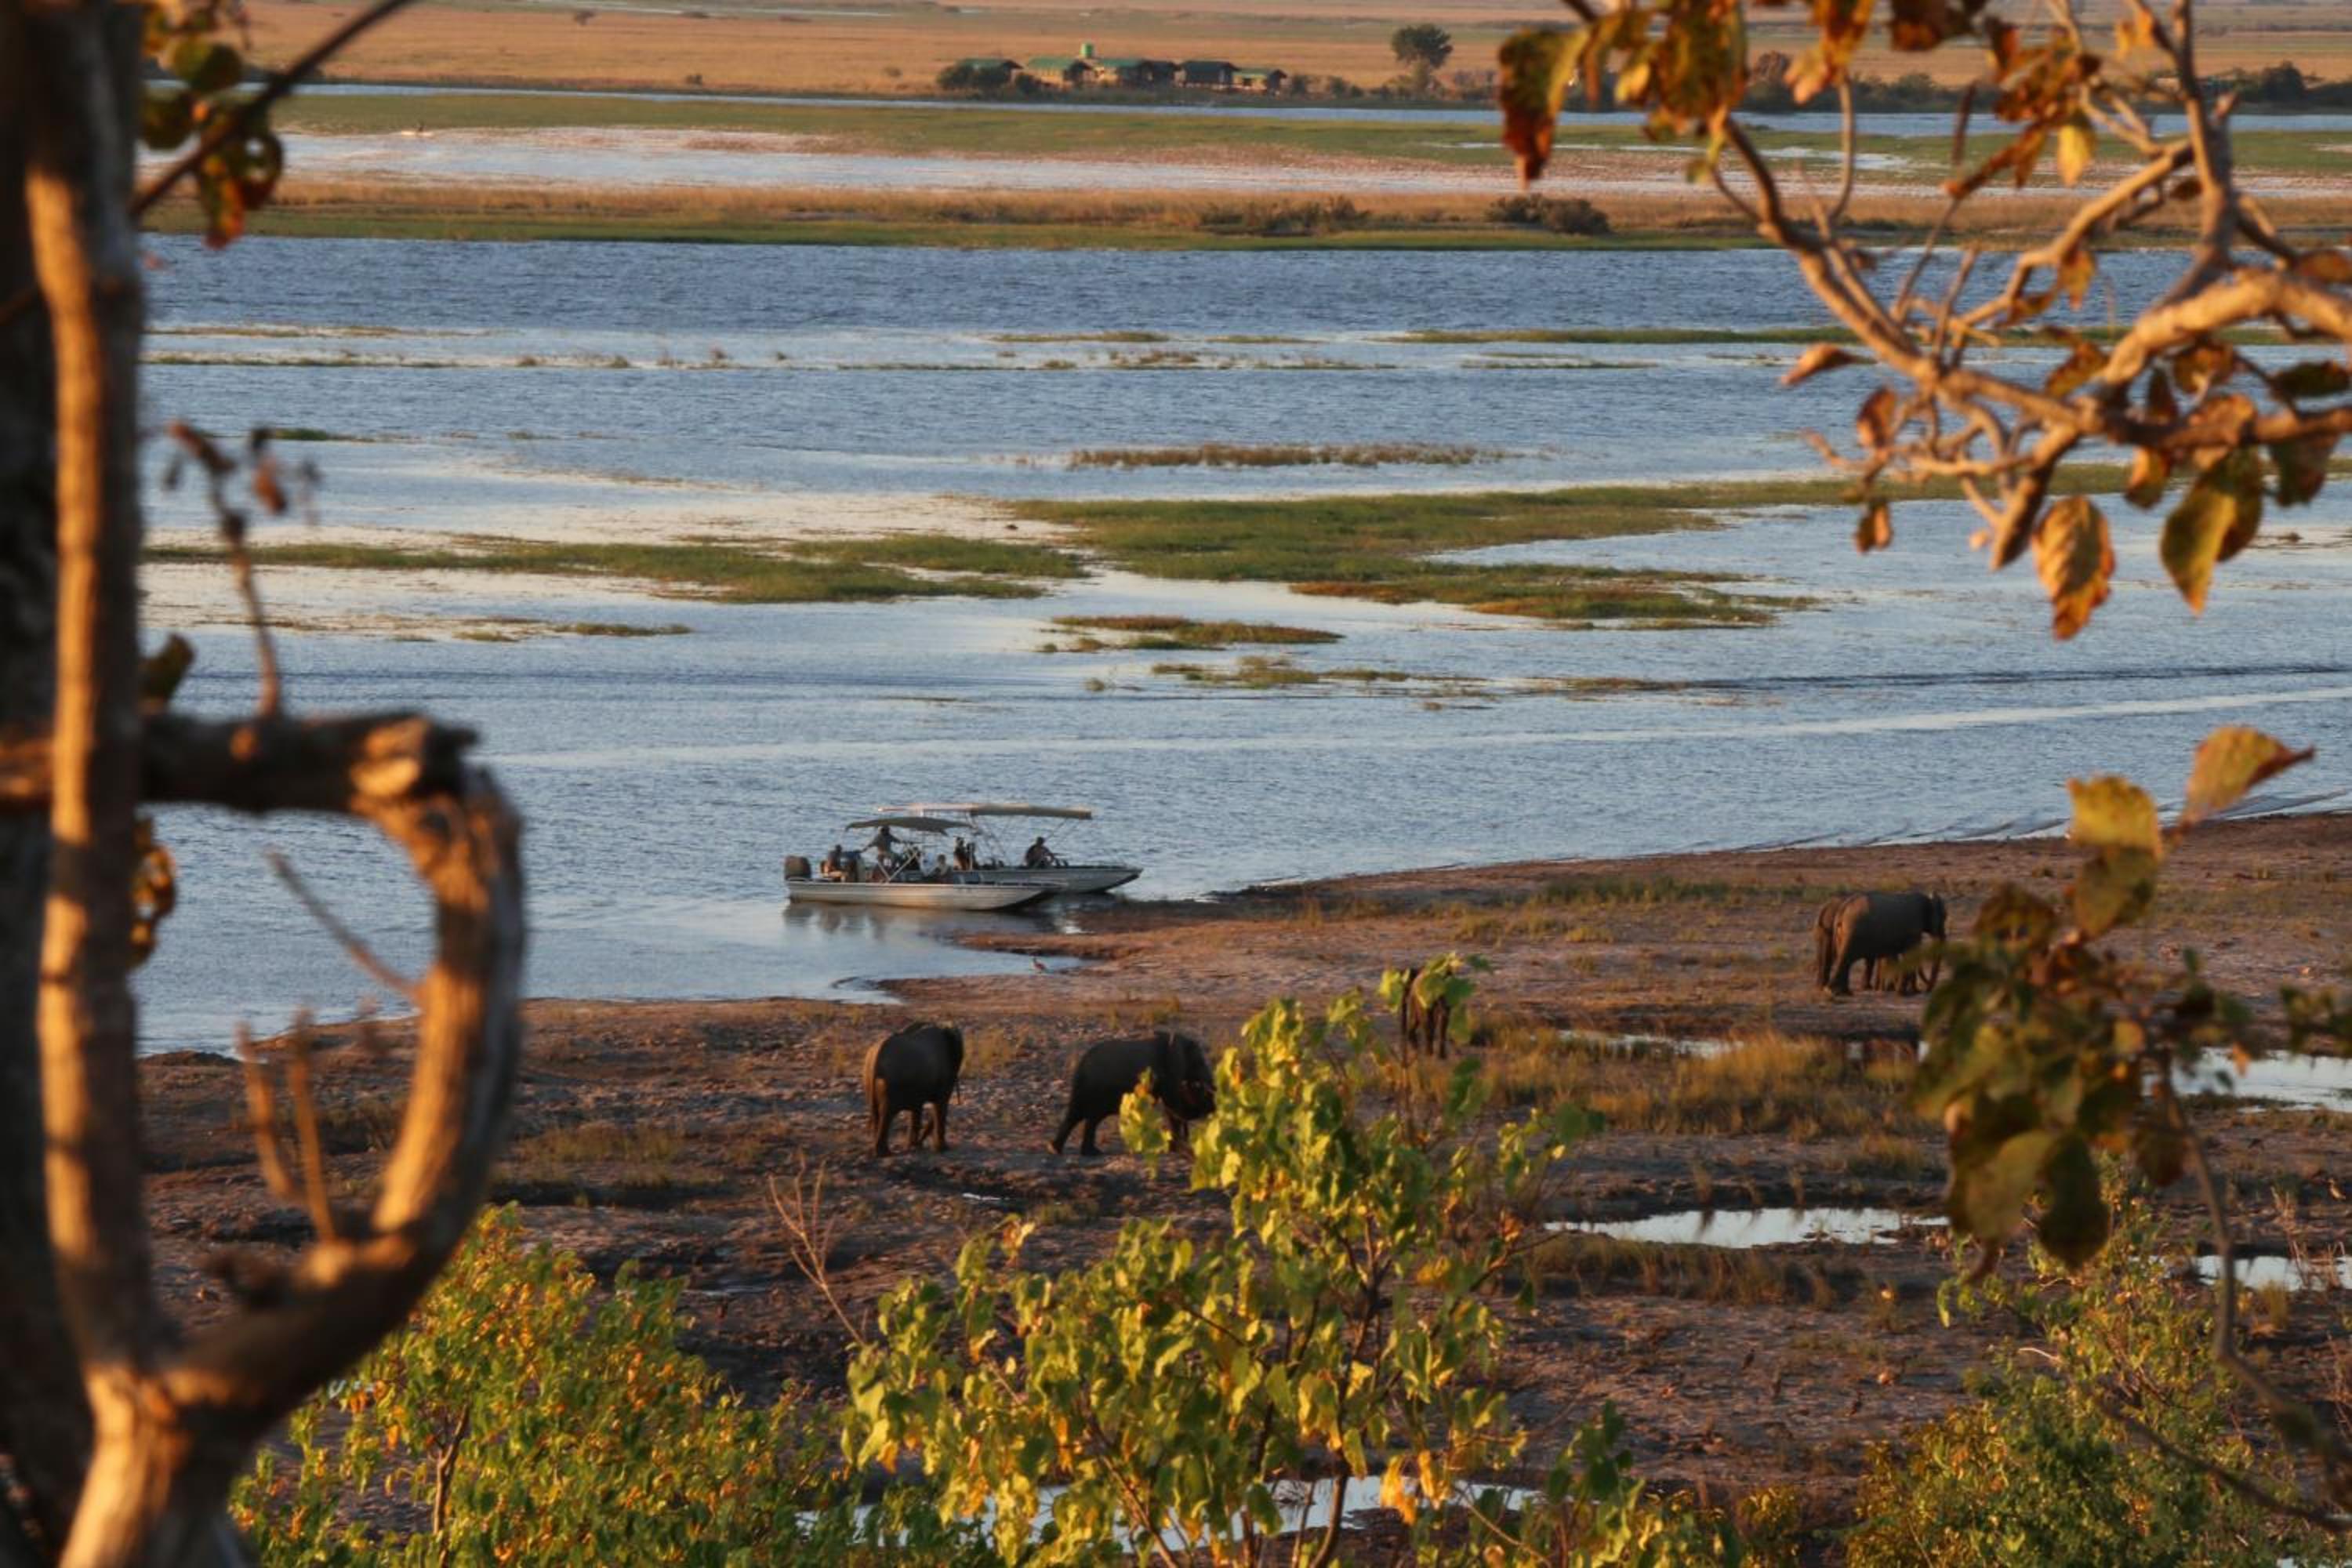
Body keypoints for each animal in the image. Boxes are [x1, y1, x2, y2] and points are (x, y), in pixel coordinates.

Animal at [863, 1021, 964, 1156]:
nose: (920, 1142)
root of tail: (876, 1059)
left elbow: (918, 1107)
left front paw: (915, 1146)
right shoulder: (945, 1074)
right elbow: (940, 1104)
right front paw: (942, 1149)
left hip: (869, 1080)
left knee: (877, 1113)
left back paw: (882, 1151)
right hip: (891, 1085)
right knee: (887, 1113)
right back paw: (885, 1153)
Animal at [1050, 1029, 1216, 1156]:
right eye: (1201, 1062)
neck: (1180, 1040)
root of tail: (1081, 1065)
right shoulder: (1170, 1071)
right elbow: (1172, 1105)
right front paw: (1176, 1149)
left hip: (1087, 1088)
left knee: (1079, 1115)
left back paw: (1058, 1150)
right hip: (1096, 1087)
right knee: (1090, 1116)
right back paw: (1087, 1153)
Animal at [1815, 892, 1947, 997]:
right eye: (1944, 917)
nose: (1927, 991)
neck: (1927, 899)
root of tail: (1842, 910)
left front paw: (1899, 991)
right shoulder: (1913, 929)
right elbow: (1910, 954)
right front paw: (1904, 994)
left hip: (1841, 934)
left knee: (1845, 960)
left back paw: (1843, 992)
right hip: (1852, 933)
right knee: (1846, 958)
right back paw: (1834, 992)